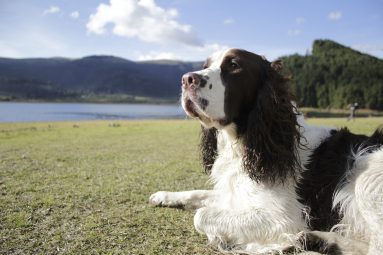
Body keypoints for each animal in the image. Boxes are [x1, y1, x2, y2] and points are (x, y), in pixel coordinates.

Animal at [148, 48, 382, 254]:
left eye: (234, 65)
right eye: (206, 66)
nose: (187, 79)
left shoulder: (283, 218)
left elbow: (201, 216)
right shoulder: (235, 193)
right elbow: (199, 193)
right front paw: (164, 196)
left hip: (365, 173)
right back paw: (321, 241)